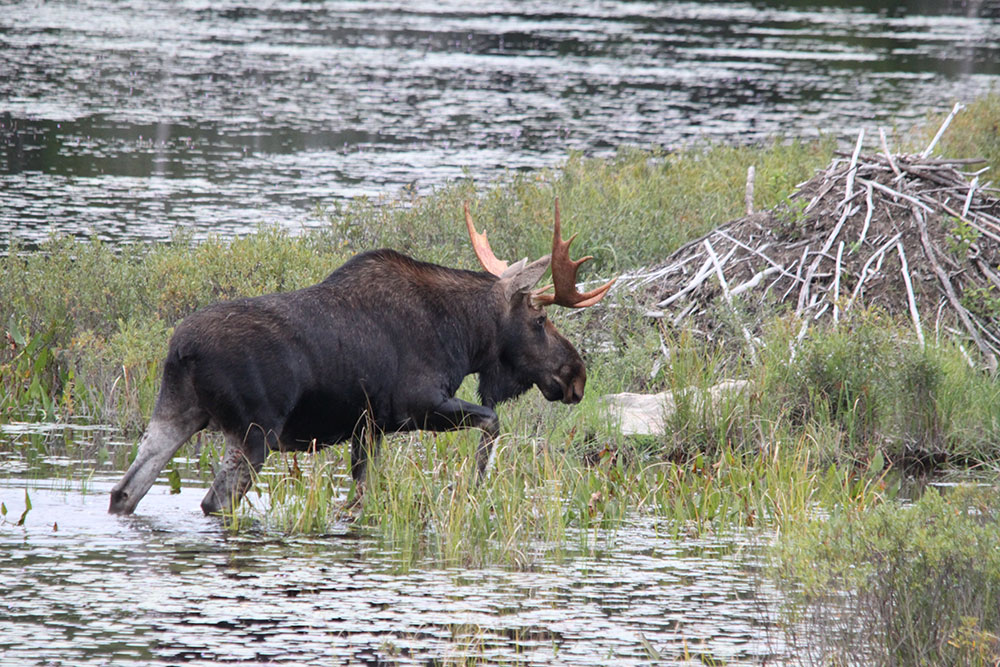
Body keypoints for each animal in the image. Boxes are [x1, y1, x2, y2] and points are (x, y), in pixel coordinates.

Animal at [107, 201, 608, 520]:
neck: (464, 338)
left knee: (125, 490)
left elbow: (362, 490)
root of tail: (182, 350)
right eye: (540, 319)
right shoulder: (418, 406)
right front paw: (470, 487)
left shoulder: (369, 426)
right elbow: (492, 421)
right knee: (214, 501)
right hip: (254, 432)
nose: (576, 375)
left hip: (176, 412)